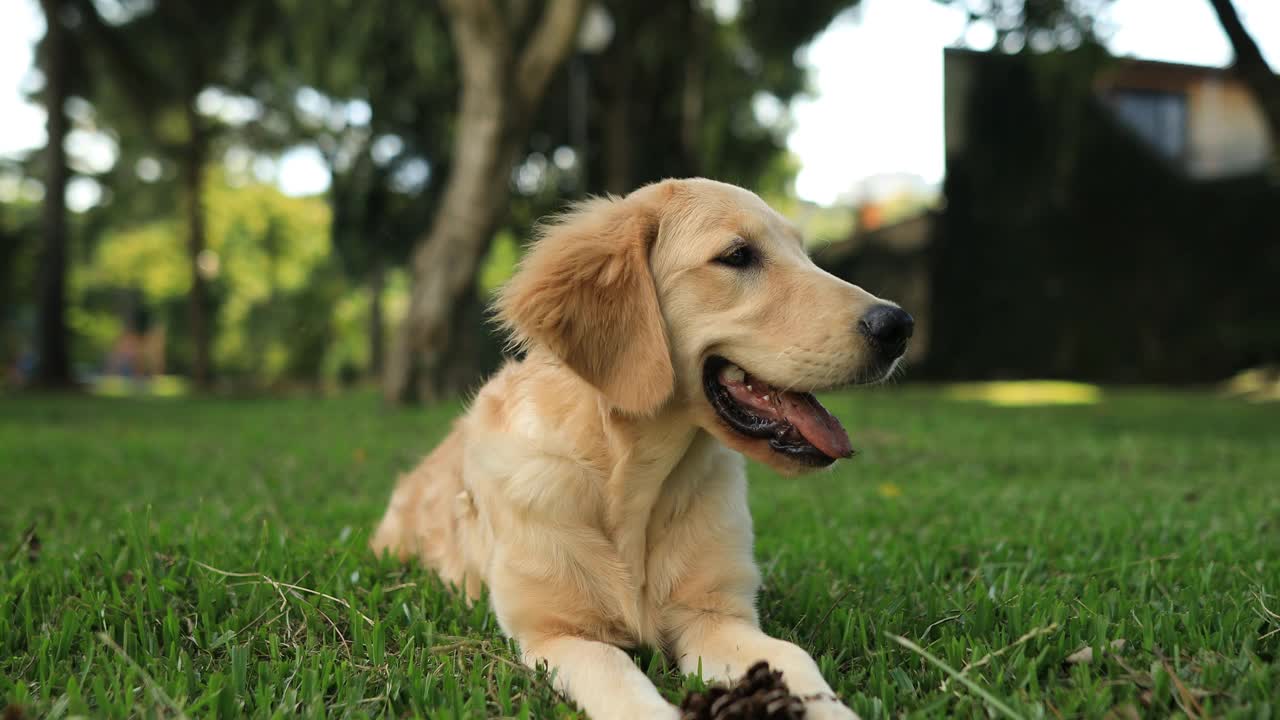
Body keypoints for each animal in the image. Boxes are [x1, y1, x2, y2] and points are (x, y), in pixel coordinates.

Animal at [371, 178, 911, 717]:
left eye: (806, 254)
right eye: (737, 255)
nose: (899, 326)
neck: (633, 482)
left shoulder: (714, 615)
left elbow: (794, 657)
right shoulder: (557, 634)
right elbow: (617, 675)